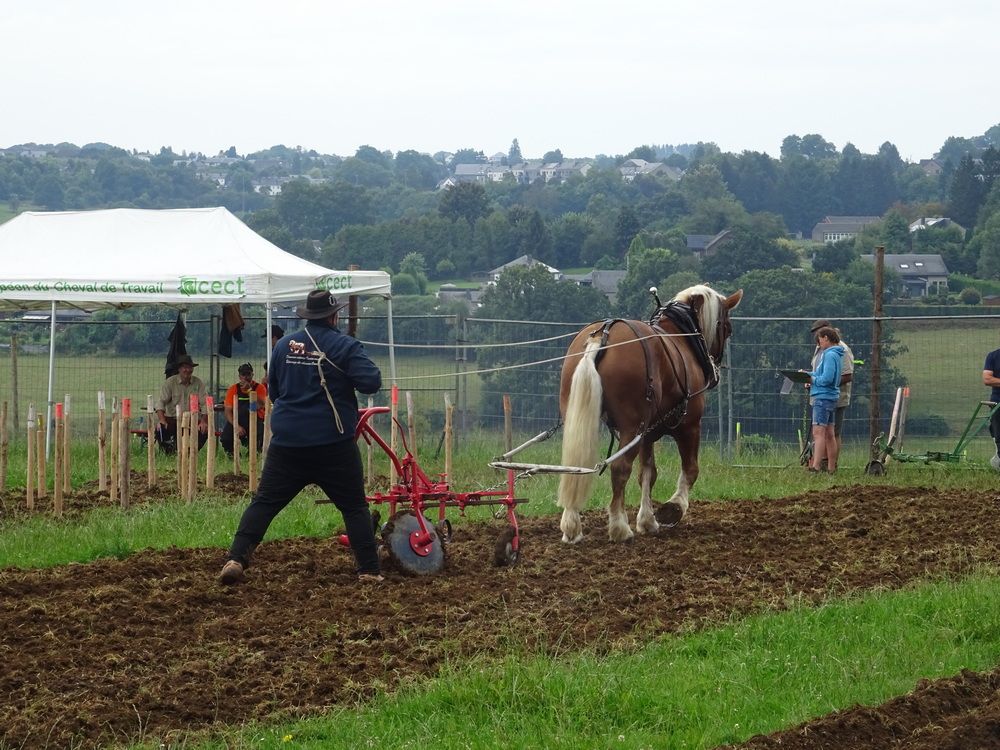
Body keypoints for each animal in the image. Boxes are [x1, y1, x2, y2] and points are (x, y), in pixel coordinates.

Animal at [560, 284, 740, 544]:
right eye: (727, 328)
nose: (715, 371)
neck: (681, 336)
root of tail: (600, 337)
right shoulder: (689, 425)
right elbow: (690, 469)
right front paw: (674, 507)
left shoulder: (647, 433)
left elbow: (647, 473)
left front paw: (647, 521)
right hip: (631, 427)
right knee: (620, 468)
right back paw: (620, 527)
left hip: (579, 419)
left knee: (573, 466)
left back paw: (572, 526)